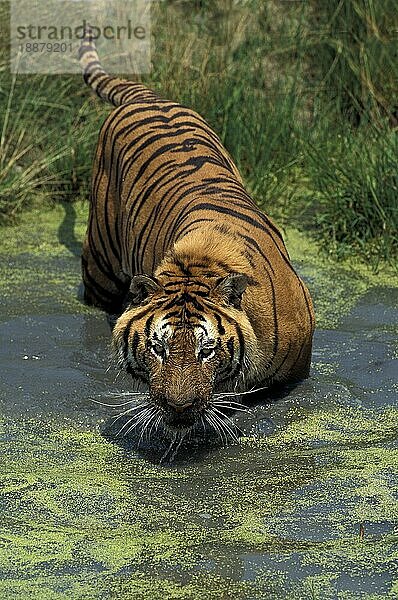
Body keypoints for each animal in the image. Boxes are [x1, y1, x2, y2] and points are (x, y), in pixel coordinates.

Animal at [78, 30, 314, 434]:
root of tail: (148, 96)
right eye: (158, 348)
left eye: (207, 350)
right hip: (101, 264)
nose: (178, 408)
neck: (200, 263)